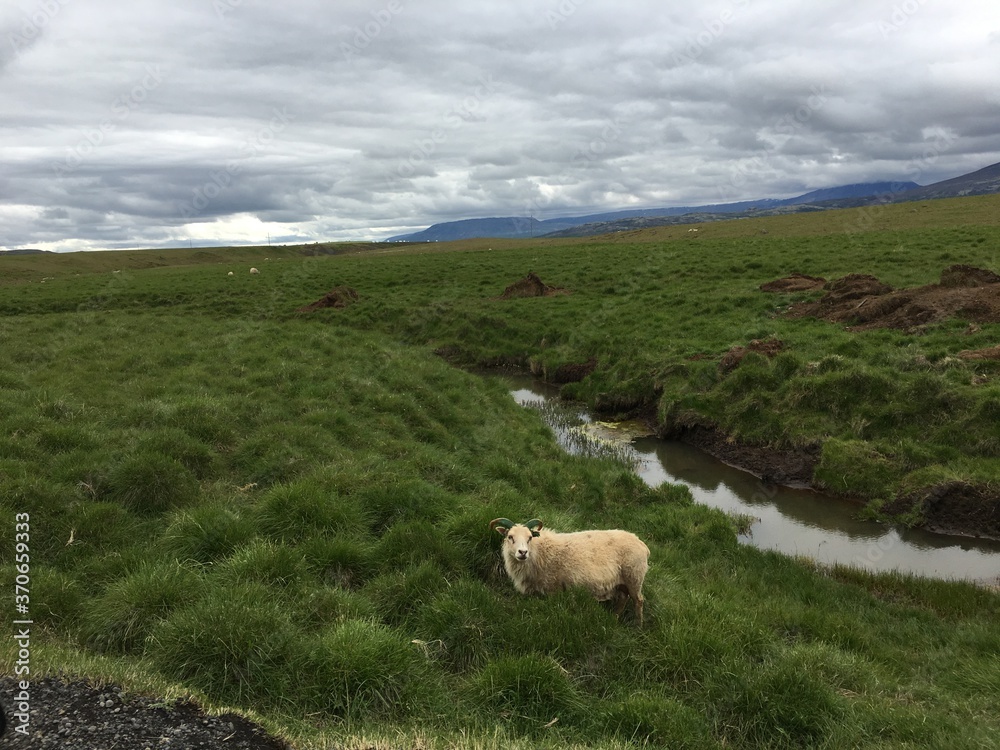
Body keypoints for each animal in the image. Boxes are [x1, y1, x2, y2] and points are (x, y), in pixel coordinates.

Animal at [490, 518, 649, 624]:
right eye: (510, 536)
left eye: (529, 537)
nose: (523, 552)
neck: (539, 552)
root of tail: (642, 544)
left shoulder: (553, 590)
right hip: (621, 582)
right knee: (623, 598)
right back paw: (614, 618)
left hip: (634, 577)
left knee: (638, 601)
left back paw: (638, 625)